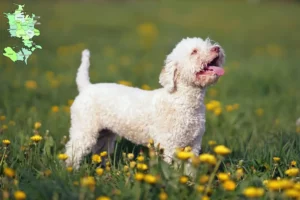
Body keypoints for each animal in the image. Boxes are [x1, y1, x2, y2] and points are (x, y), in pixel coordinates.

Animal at [65, 36, 225, 168]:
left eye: (208, 44)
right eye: (194, 51)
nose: (217, 48)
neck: (181, 100)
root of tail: (86, 86)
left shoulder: (193, 144)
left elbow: (189, 169)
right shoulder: (169, 143)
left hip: (105, 135)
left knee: (100, 152)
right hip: (84, 129)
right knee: (72, 152)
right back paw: (71, 171)